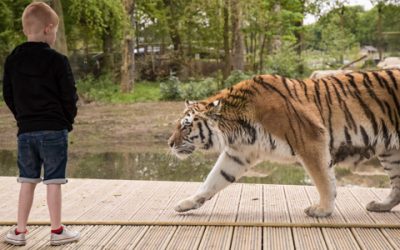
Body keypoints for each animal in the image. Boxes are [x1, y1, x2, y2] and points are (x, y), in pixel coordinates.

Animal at [168, 69, 400, 218]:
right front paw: (186, 203)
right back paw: (380, 205)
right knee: (397, 185)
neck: (235, 127)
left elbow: (324, 180)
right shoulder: (238, 154)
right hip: (391, 151)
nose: (169, 143)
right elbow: (213, 180)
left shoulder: (311, 139)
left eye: (186, 127)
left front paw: (323, 210)